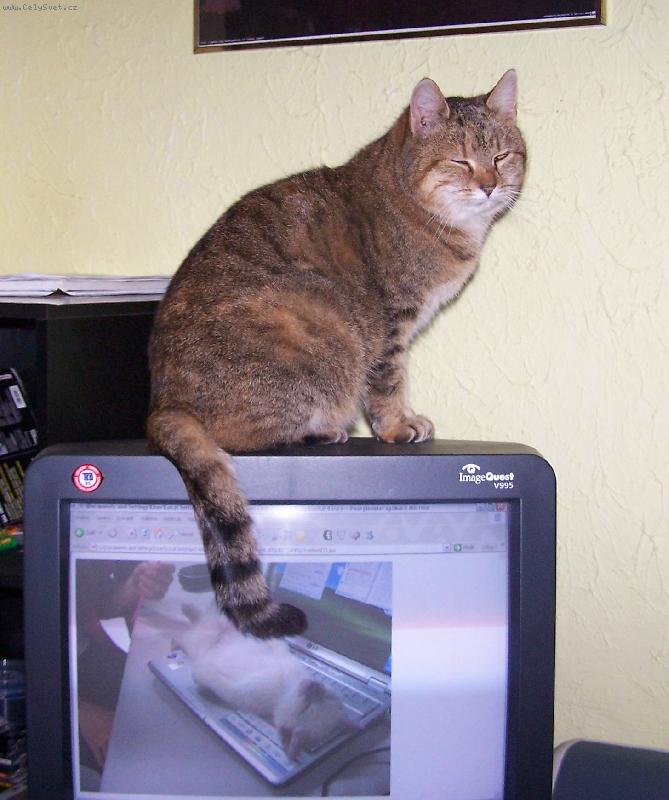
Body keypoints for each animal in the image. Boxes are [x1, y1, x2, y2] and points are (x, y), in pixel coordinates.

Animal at [147, 71, 526, 638]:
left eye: (502, 156)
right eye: (460, 160)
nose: (488, 185)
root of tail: (163, 403)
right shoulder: (389, 325)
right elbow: (388, 384)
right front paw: (399, 425)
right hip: (319, 330)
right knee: (237, 436)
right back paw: (323, 429)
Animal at [172, 603, 357, 760]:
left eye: (306, 707)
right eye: (328, 696)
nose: (313, 686)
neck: (287, 685)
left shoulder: (237, 689)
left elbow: (204, 674)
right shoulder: (280, 651)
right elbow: (277, 643)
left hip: (193, 641)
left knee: (188, 633)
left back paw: (178, 638)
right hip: (221, 624)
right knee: (205, 618)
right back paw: (188, 609)